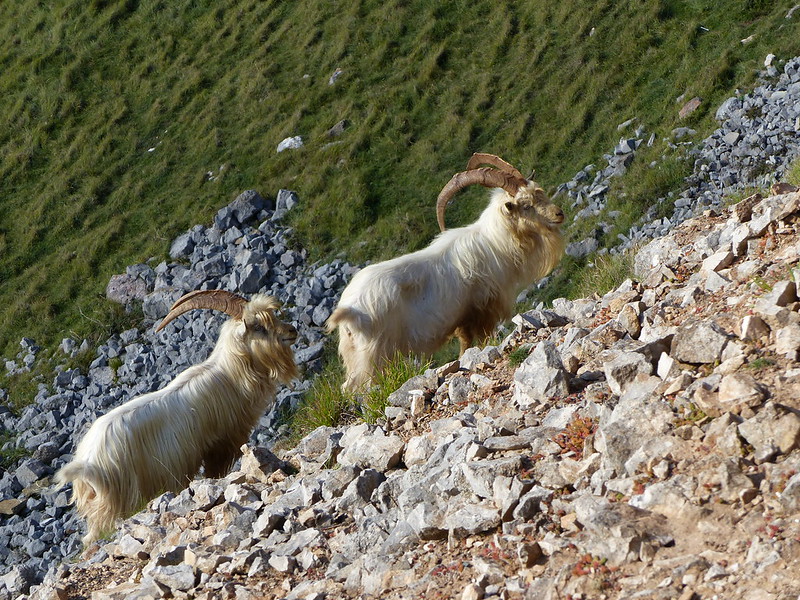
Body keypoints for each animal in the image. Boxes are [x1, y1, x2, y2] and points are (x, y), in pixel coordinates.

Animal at [328, 152, 564, 392]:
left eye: (539, 191)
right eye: (525, 205)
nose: (558, 213)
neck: (495, 242)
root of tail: (351, 309)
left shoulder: (462, 319)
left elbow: (465, 345)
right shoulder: (483, 310)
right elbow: (483, 340)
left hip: (355, 356)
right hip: (375, 356)